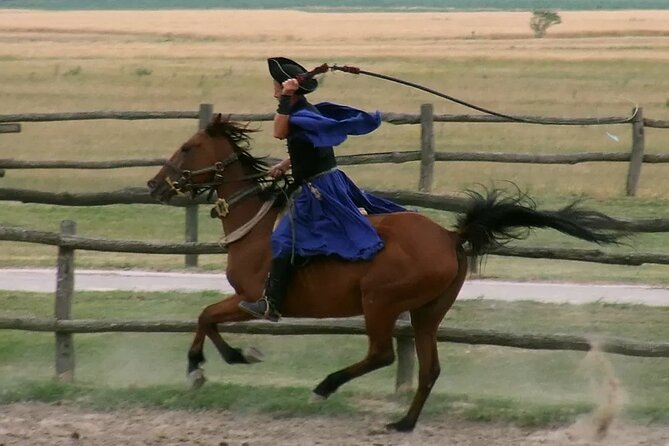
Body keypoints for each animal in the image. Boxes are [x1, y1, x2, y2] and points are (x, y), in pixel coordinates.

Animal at [147, 114, 623, 432]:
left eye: (188, 147)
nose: (154, 185)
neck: (257, 227)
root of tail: (451, 236)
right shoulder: (244, 302)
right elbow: (206, 318)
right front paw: (225, 360)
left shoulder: (252, 301)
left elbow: (206, 316)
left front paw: (205, 366)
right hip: (428, 313)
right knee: (428, 369)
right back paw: (404, 423)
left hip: (380, 302)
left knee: (383, 354)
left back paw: (325, 386)